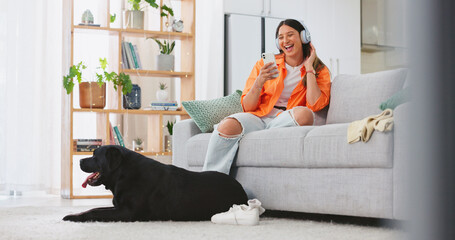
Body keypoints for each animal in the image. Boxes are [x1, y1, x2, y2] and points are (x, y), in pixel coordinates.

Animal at [62, 144, 248, 221]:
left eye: (95, 155)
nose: (80, 161)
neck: (123, 174)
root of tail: (242, 190)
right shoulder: (119, 207)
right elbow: (94, 208)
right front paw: (73, 215)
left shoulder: (127, 212)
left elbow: (95, 212)